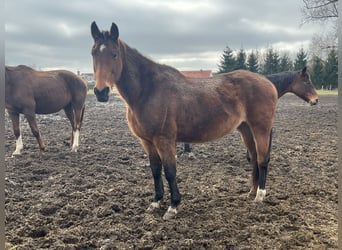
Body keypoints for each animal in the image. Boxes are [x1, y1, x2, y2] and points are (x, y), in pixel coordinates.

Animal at [90, 22, 278, 221]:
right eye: (93, 53)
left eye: (114, 54)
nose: (101, 92)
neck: (148, 91)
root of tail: (267, 82)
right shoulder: (147, 141)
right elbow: (155, 170)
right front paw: (156, 202)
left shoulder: (164, 140)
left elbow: (170, 172)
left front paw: (173, 206)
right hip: (246, 129)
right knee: (255, 158)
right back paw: (252, 192)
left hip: (261, 129)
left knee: (262, 159)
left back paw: (260, 196)